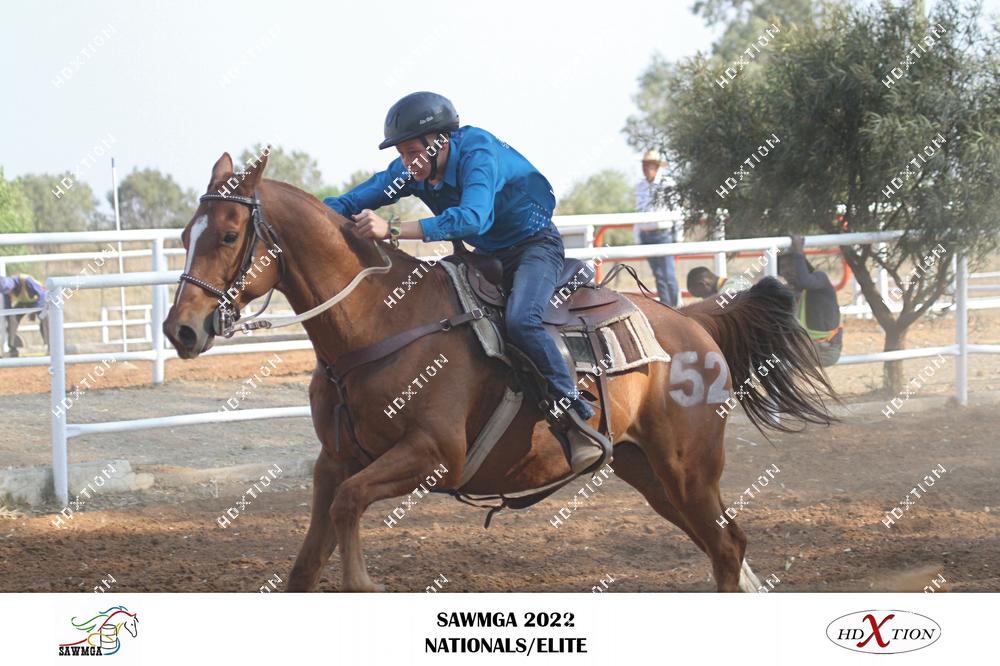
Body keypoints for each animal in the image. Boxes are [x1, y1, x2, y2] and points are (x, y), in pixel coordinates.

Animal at [163, 151, 836, 592]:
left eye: (229, 234)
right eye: (185, 233)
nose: (180, 330)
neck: (380, 323)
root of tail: (694, 322)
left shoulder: (434, 455)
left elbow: (353, 515)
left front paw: (365, 583)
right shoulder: (333, 464)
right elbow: (306, 565)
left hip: (688, 468)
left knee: (727, 548)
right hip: (648, 471)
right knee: (728, 549)